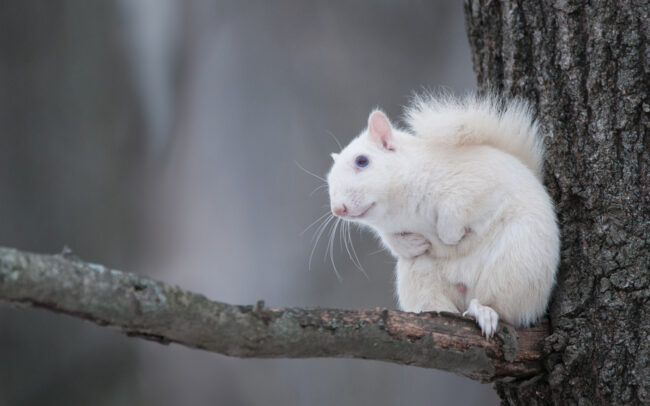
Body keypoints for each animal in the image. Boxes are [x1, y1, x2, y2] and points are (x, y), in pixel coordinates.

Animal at [326, 94, 560, 337]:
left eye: (362, 161)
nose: (338, 209)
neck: (399, 209)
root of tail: (466, 289)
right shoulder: (389, 228)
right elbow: (391, 240)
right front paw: (414, 245)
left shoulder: (474, 186)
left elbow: (455, 214)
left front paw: (450, 238)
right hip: (420, 279)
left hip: (516, 265)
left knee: (503, 309)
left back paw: (483, 311)